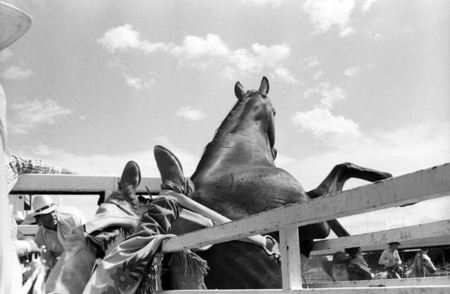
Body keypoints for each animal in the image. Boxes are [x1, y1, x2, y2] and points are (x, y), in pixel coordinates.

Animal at [179, 76, 390, 290]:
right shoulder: (314, 220)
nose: (275, 151)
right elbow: (340, 175)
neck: (238, 158)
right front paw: (383, 176)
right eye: (275, 112)